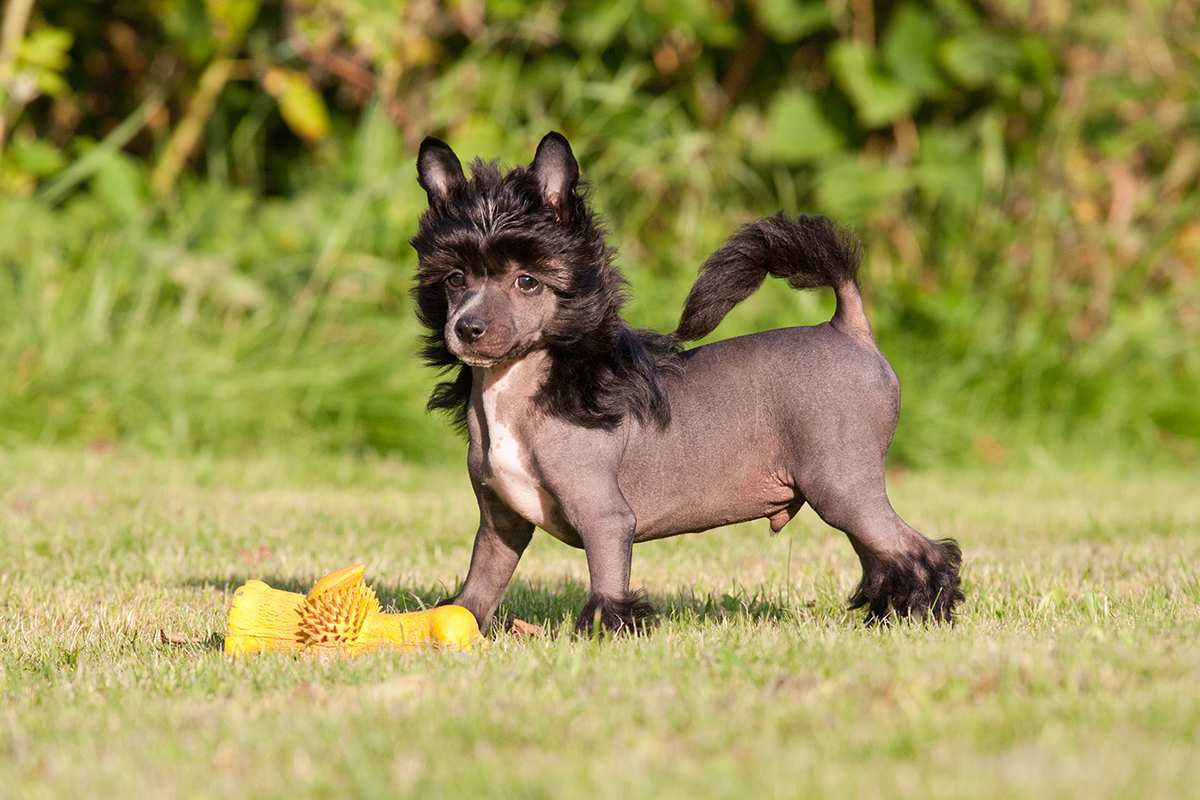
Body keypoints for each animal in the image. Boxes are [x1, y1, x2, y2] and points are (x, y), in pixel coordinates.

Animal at [412, 131, 964, 633]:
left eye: (527, 281)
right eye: (455, 279)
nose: (467, 328)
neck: (518, 387)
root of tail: (847, 327)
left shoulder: (605, 519)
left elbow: (606, 587)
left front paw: (604, 633)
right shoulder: (500, 527)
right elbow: (477, 591)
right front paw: (454, 625)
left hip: (842, 486)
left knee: (923, 553)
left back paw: (925, 613)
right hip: (845, 495)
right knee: (884, 557)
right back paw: (888, 616)